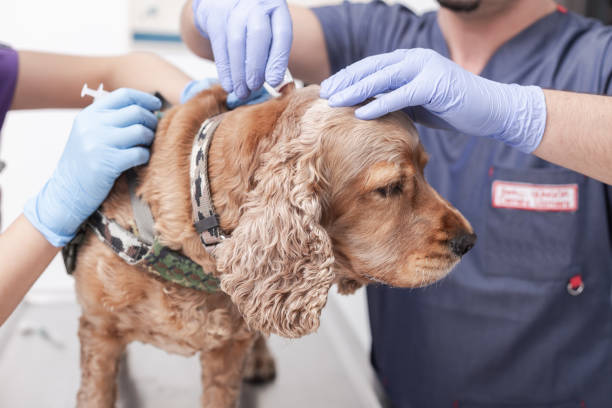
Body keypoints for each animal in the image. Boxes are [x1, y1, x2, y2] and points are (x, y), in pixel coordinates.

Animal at [70, 84, 474, 406]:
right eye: (389, 188)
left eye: (425, 171)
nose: (468, 241)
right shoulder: (98, 331)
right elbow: (97, 391)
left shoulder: (227, 348)